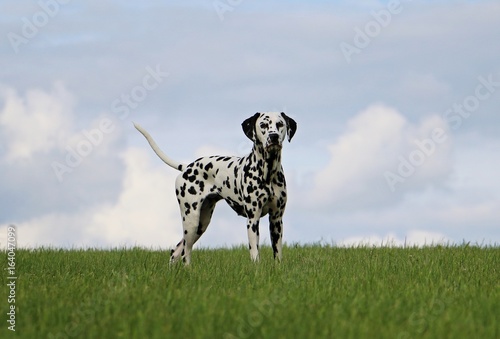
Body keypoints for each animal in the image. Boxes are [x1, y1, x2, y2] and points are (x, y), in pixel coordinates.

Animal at [134, 113, 296, 264]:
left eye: (280, 124)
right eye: (263, 125)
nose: (273, 136)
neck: (268, 173)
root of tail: (187, 167)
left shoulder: (276, 219)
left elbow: (278, 253)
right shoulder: (252, 219)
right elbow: (255, 253)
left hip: (201, 223)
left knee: (176, 251)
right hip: (191, 220)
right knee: (186, 252)